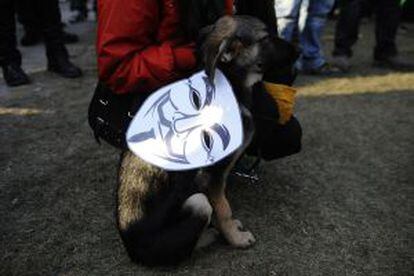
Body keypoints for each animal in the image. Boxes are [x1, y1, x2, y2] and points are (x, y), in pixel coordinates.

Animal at [116, 16, 298, 266]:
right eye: (266, 37)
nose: (299, 51)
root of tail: (132, 252)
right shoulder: (211, 176)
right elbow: (223, 208)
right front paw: (235, 237)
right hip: (197, 203)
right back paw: (209, 235)